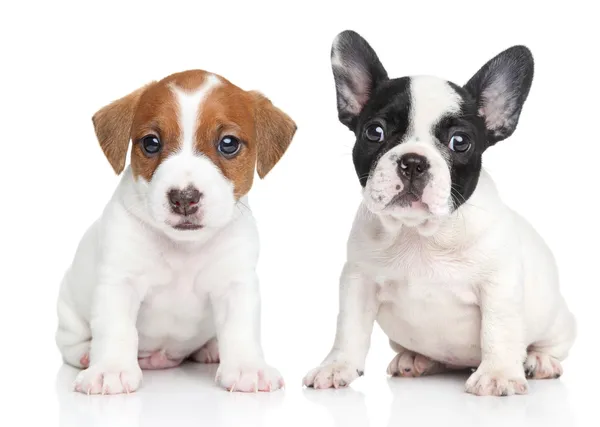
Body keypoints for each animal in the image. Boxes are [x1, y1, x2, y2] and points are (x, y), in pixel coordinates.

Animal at [55, 69, 296, 394]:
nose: (184, 197)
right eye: (151, 143)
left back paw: (212, 348)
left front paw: (247, 367)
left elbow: (241, 329)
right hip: (68, 310)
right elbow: (115, 328)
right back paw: (85, 353)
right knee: (69, 342)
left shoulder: (236, 285)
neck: (184, 248)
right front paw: (110, 370)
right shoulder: (119, 283)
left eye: (228, 143)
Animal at [304, 30, 576, 398]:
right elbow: (349, 329)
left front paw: (498, 374)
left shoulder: (499, 286)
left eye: (459, 141)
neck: (420, 234)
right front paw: (337, 366)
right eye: (374, 132)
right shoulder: (358, 281)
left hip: (557, 320)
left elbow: (498, 329)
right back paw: (416, 359)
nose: (414, 161)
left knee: (548, 344)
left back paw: (540, 361)